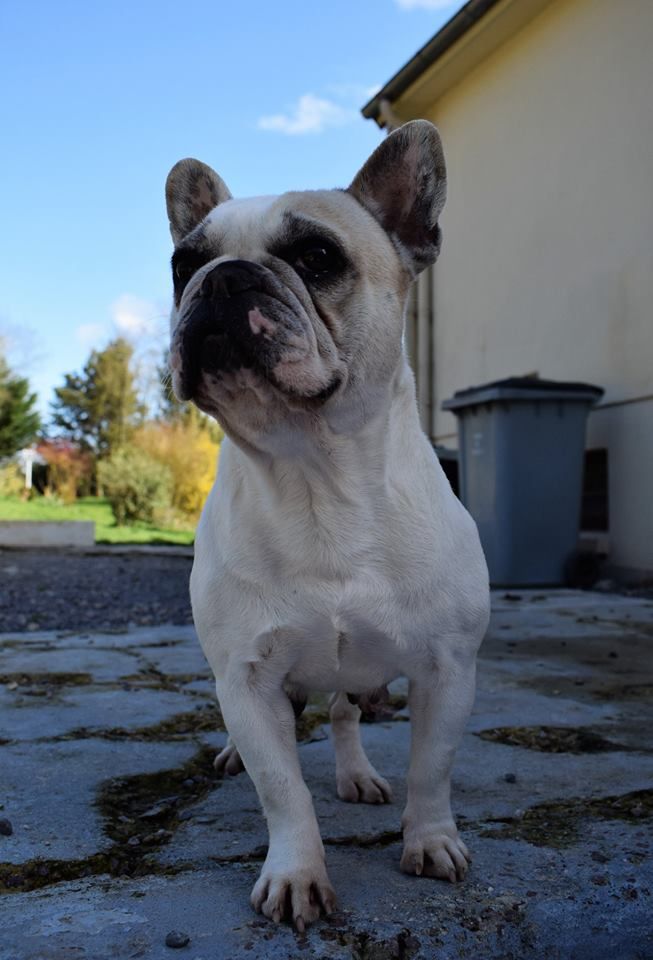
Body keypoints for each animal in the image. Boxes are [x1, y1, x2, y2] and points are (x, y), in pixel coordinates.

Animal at [165, 120, 490, 931]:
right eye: (183, 264)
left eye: (316, 257)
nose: (222, 277)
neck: (316, 476)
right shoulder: (247, 678)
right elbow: (281, 790)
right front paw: (296, 873)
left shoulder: (449, 670)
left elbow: (432, 767)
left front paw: (429, 841)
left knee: (344, 716)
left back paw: (357, 774)